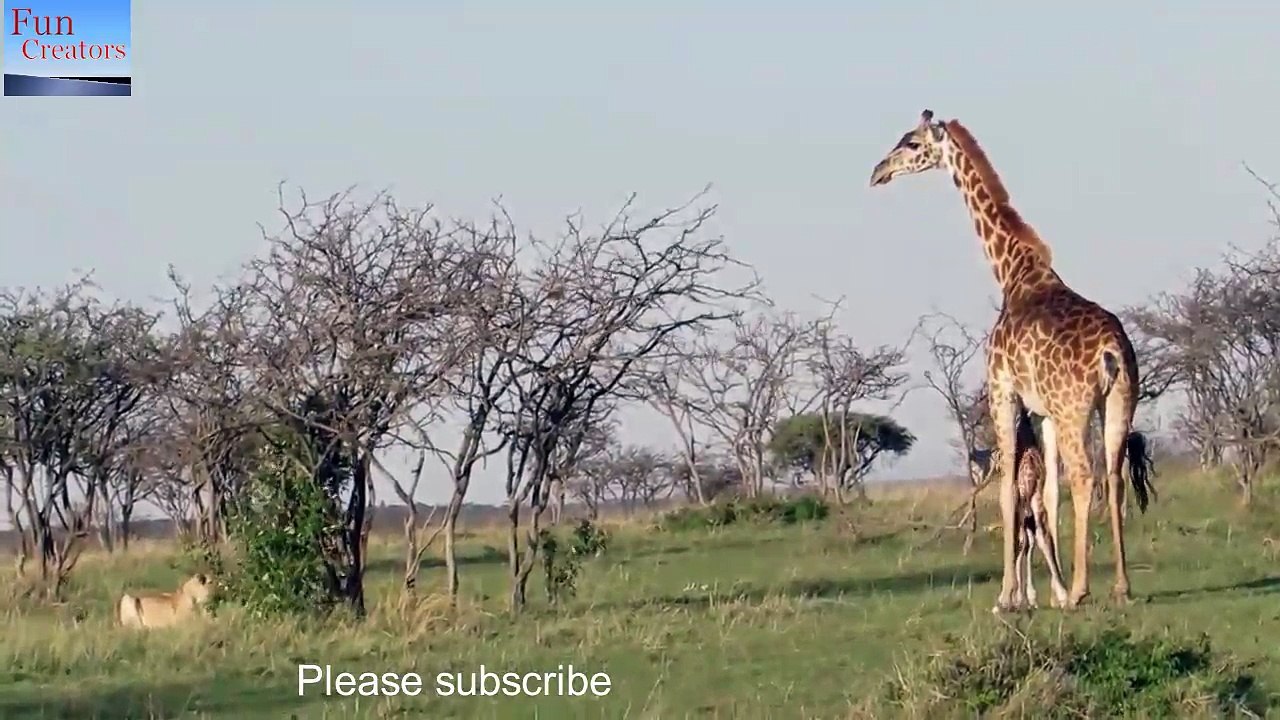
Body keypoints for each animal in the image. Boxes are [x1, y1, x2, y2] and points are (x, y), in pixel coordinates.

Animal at [869, 110, 1155, 611]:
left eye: (911, 143)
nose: (878, 172)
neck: (1013, 271)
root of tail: (1111, 352)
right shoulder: (1040, 411)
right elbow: (1046, 494)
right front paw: (1045, 593)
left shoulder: (1004, 392)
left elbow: (1008, 492)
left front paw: (1008, 596)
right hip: (1119, 401)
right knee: (1114, 477)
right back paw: (1120, 586)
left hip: (1075, 407)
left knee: (1087, 478)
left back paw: (1081, 590)